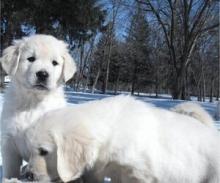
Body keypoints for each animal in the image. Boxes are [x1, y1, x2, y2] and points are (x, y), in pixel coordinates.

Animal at [0, 34, 76, 179]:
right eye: (31, 59)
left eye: (54, 63)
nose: (42, 74)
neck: (33, 102)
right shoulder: (9, 142)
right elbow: (11, 170)